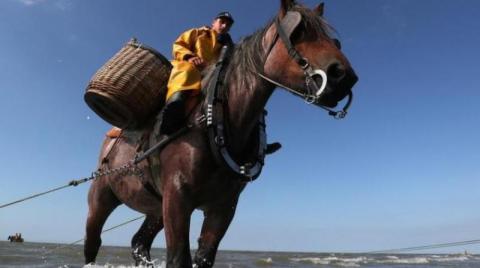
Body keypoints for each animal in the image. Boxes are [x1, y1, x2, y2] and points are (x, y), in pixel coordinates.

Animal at [84, 1, 358, 266]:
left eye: (334, 40)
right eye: (299, 31)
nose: (345, 76)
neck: (214, 120)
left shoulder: (223, 207)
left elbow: (204, 257)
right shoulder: (177, 198)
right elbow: (178, 258)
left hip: (155, 207)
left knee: (139, 243)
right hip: (102, 196)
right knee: (92, 241)